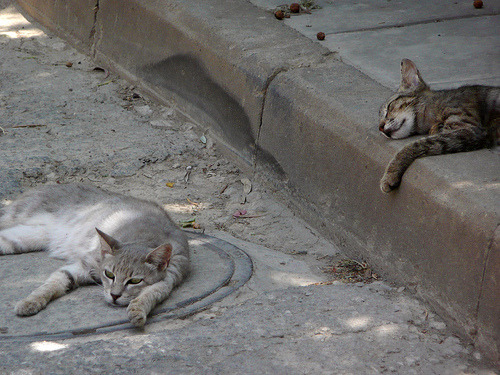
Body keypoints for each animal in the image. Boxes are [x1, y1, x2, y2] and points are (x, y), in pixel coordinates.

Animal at [0, 184, 189, 328]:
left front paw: (138, 309)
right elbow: (49, 285)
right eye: (109, 274)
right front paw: (30, 301)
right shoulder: (83, 264)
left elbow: (151, 293)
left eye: (135, 281)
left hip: (21, 239)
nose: (114, 296)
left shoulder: (170, 278)